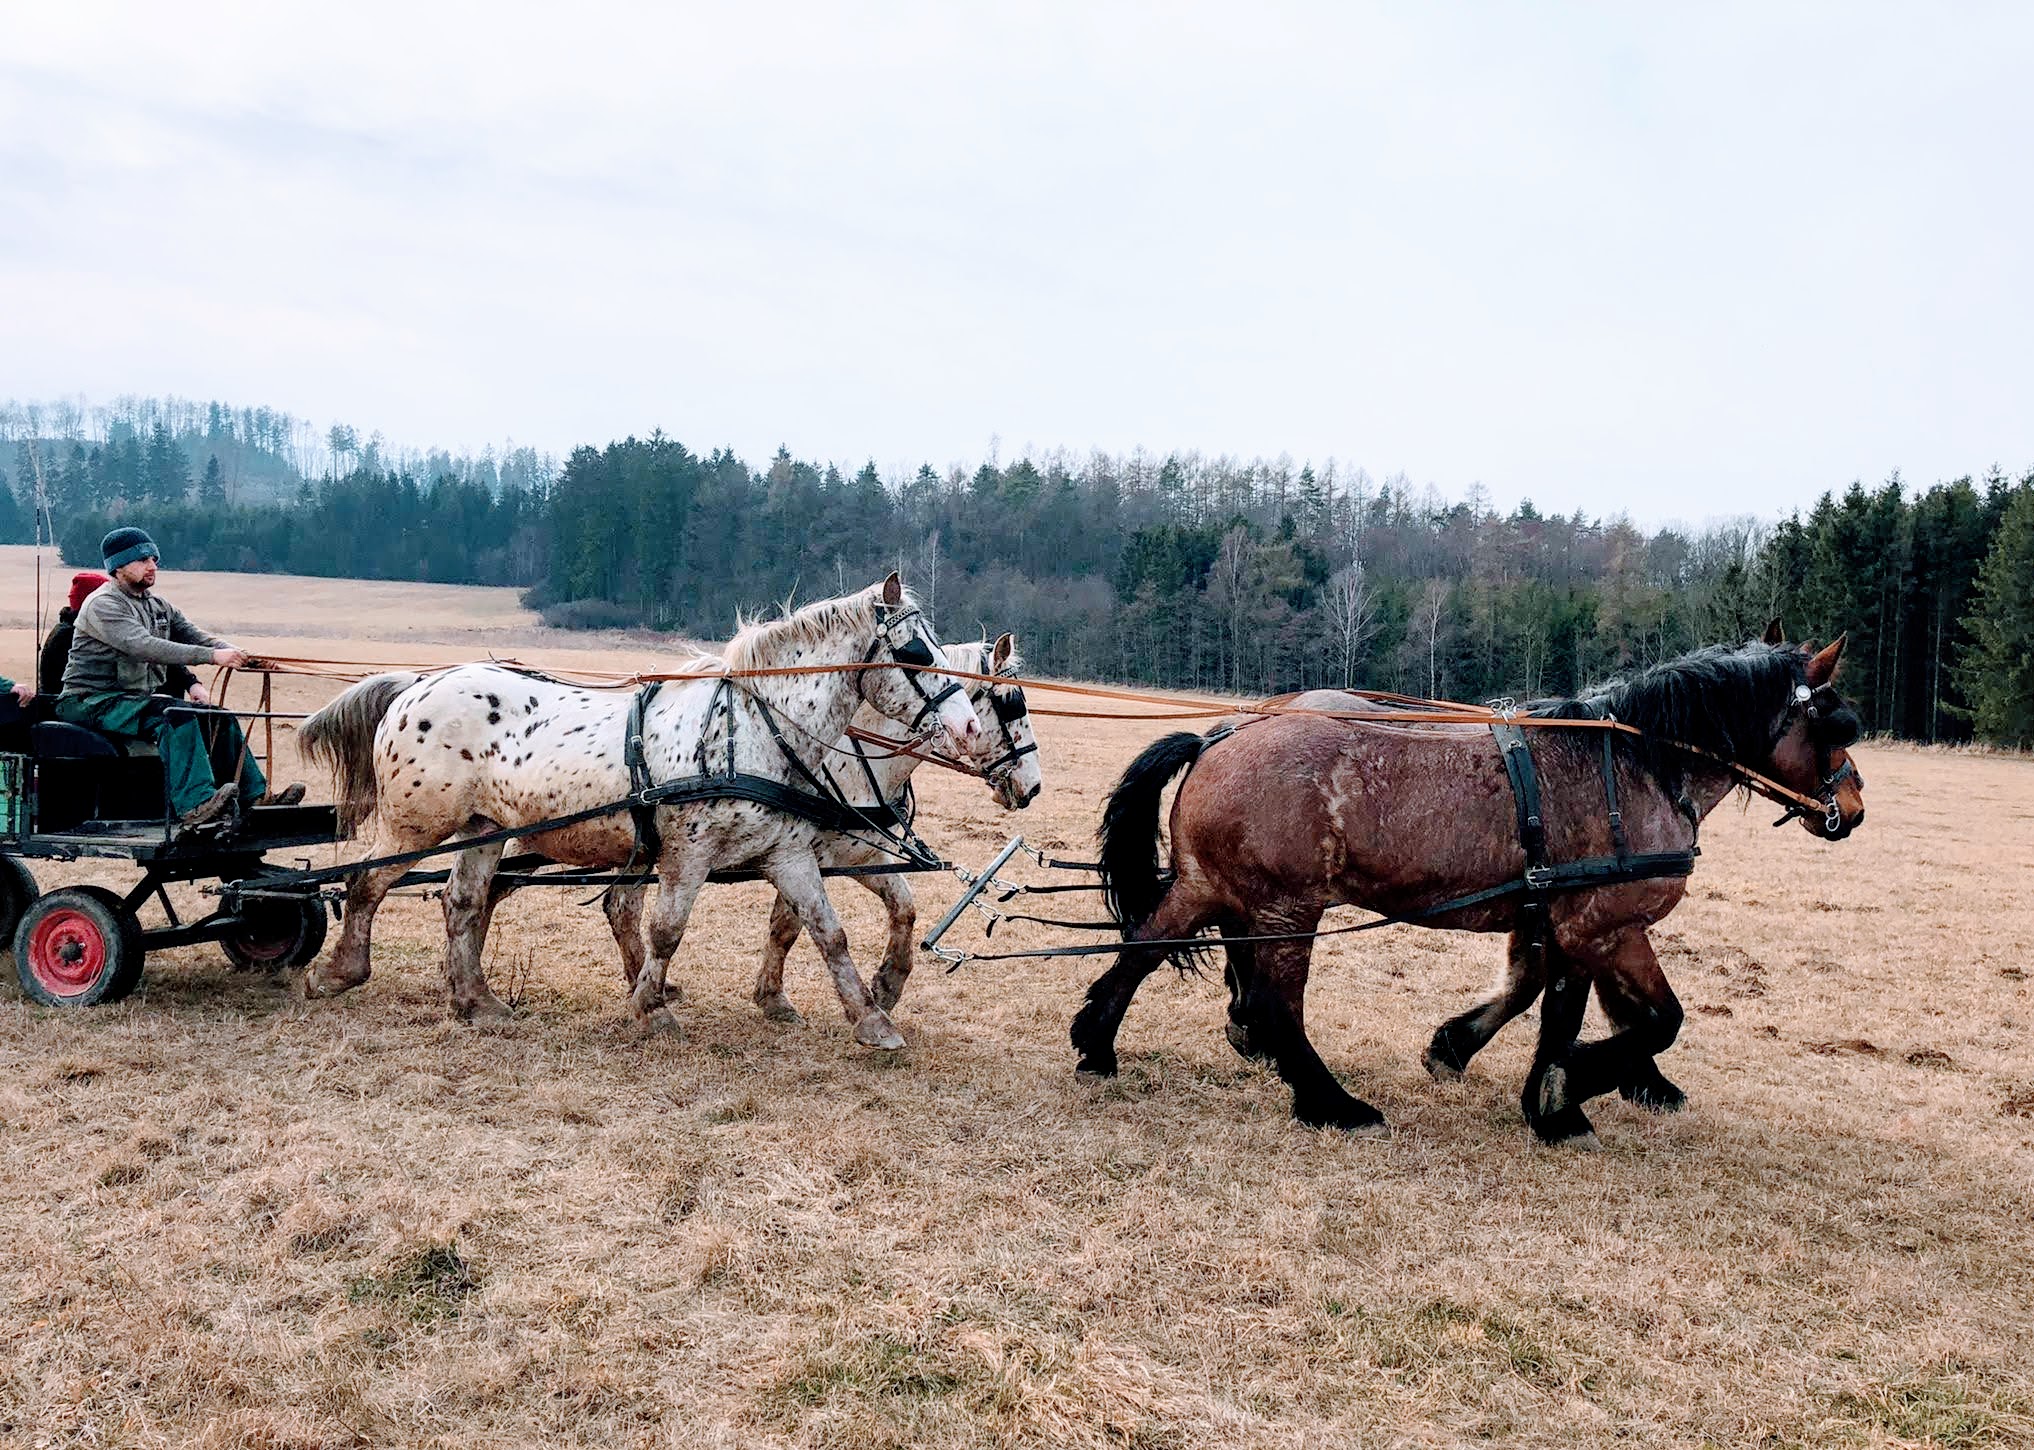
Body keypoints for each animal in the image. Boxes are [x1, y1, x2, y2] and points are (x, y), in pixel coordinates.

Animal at [292, 573, 976, 1041]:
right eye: (917, 653)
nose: (967, 724)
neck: (755, 730)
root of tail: (417, 683)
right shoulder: (689, 852)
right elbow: (666, 929)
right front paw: (651, 1009)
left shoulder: (787, 855)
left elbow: (827, 932)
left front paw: (871, 1018)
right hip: (418, 825)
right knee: (366, 884)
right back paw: (338, 973)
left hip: (484, 828)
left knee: (461, 902)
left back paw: (475, 1000)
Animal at [597, 630, 1049, 1016]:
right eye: (1013, 703)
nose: (1033, 786)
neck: (853, 761)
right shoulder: (807, 853)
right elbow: (788, 927)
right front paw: (775, 997)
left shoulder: (856, 853)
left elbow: (903, 906)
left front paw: (887, 985)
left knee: (620, 907)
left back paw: (643, 982)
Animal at [1073, 634, 1863, 1138]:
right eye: (1835, 725)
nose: (1852, 809)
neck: (1638, 764)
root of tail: (1222, 735)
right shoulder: (1601, 923)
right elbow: (1642, 1019)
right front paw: (1571, 1089)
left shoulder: (1565, 921)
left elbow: (1554, 1002)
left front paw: (1508, 1075)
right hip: (1284, 905)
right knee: (1276, 1006)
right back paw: (1331, 1104)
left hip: (1210, 884)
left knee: (1143, 946)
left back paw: (1097, 1045)